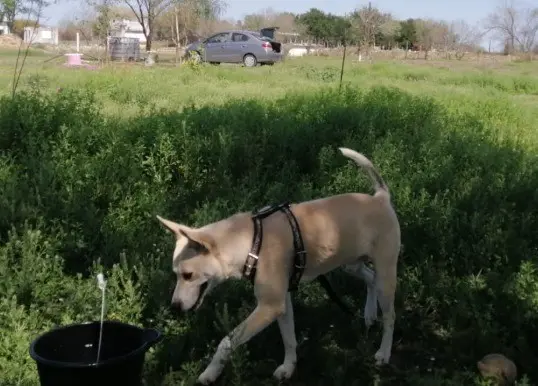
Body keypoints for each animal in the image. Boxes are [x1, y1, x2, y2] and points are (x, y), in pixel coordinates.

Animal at [155, 147, 398, 382]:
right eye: (175, 274)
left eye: (188, 275)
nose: (174, 307)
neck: (249, 241)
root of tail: (380, 197)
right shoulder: (282, 302)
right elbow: (289, 338)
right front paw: (288, 367)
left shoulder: (269, 306)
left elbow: (227, 341)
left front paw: (210, 373)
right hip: (351, 263)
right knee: (370, 277)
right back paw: (369, 313)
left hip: (385, 274)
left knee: (389, 315)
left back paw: (384, 352)